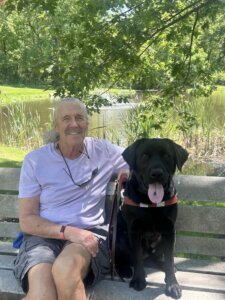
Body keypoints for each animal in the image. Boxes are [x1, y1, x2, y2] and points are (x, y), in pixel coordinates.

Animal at [116, 138, 188, 298]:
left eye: (166, 156)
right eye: (144, 155)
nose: (156, 173)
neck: (151, 203)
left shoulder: (169, 230)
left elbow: (169, 257)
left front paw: (172, 285)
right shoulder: (134, 230)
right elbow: (137, 257)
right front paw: (138, 280)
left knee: (158, 258)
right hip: (121, 239)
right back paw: (125, 269)